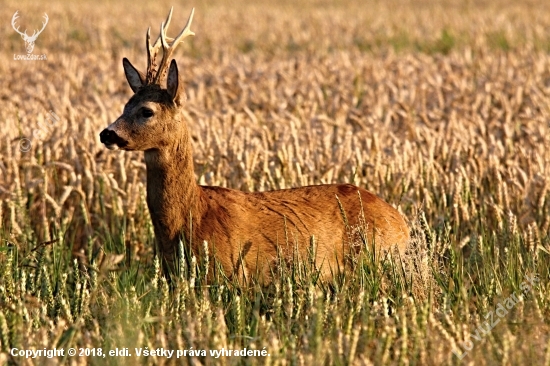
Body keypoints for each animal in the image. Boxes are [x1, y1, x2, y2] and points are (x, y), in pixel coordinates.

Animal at [99, 7, 410, 284]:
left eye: (147, 111)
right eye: (126, 105)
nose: (107, 134)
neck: (192, 216)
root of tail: (402, 224)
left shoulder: (233, 275)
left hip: (377, 258)